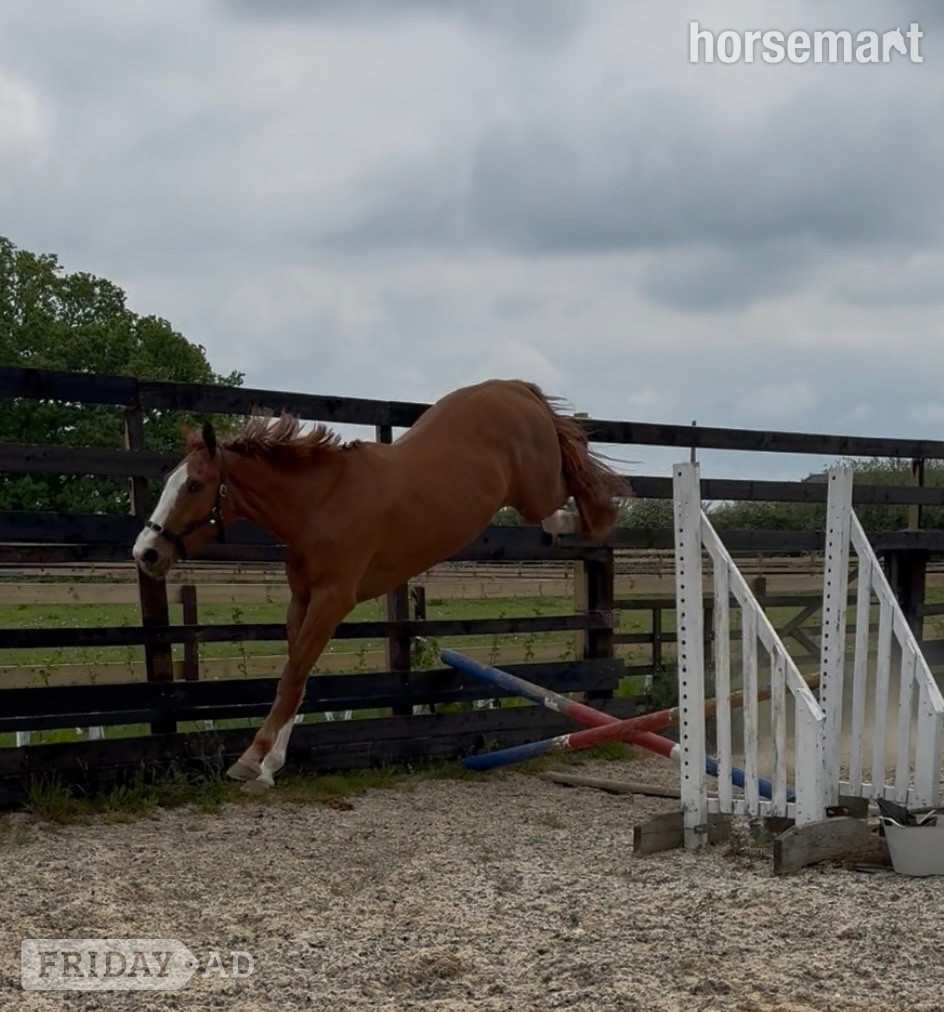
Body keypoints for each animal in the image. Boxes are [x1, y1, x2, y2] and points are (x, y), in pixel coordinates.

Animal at [132, 378, 629, 791]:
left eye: (194, 485)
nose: (145, 553)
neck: (320, 502)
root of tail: (514, 387)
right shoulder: (302, 598)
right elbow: (296, 674)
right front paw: (270, 765)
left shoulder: (333, 599)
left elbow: (292, 676)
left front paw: (251, 760)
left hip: (534, 490)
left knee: (580, 495)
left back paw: (590, 516)